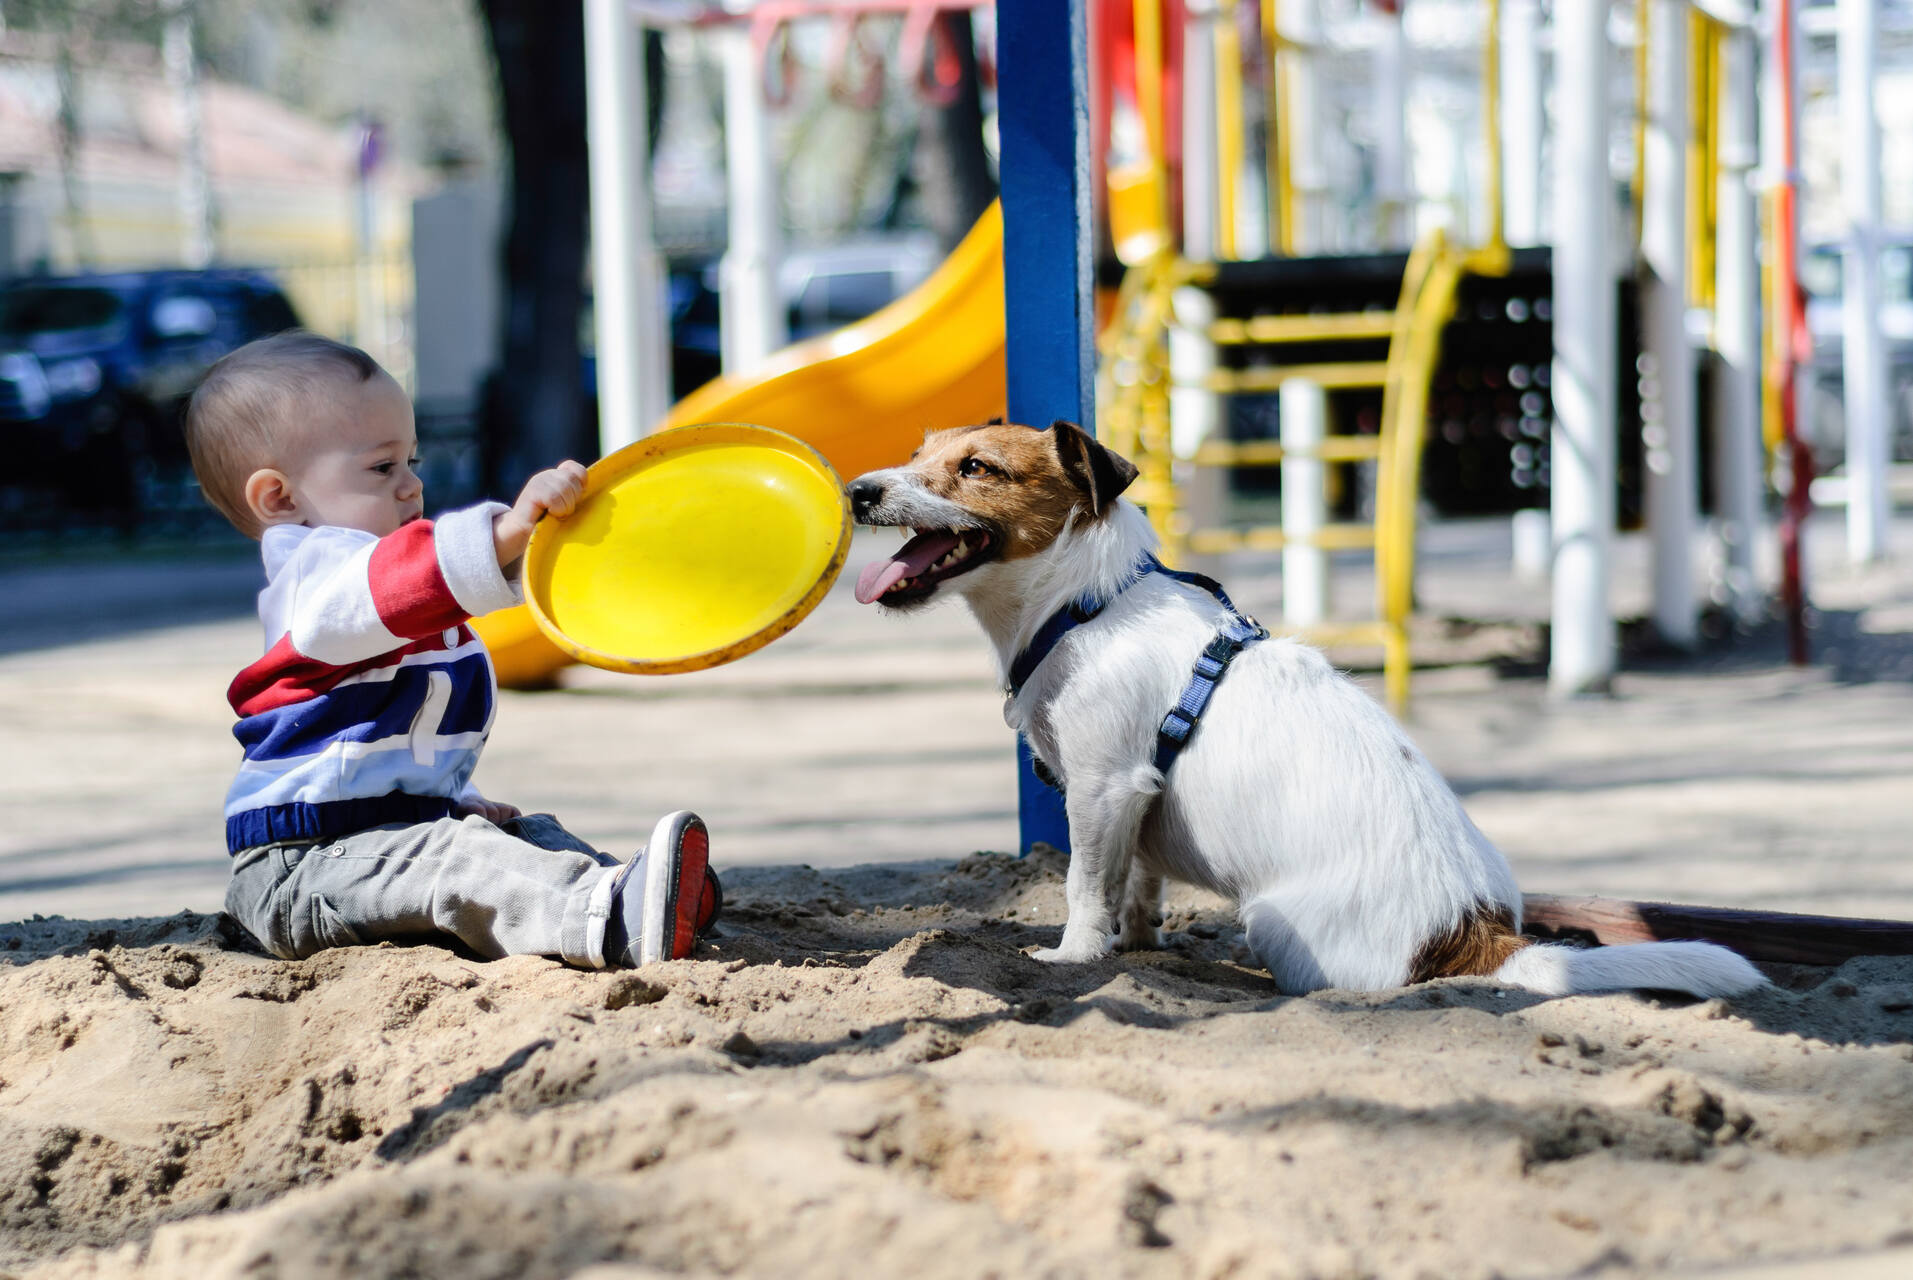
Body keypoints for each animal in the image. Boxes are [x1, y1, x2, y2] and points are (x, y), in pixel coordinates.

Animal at [849, 419, 1759, 994]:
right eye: (918, 451)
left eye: (978, 469)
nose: (858, 490)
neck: (1086, 604)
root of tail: (1475, 936)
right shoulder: (1136, 794)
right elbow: (1133, 883)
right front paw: (1137, 947)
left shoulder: (1102, 784)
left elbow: (1082, 884)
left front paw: (1075, 957)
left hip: (1274, 921)